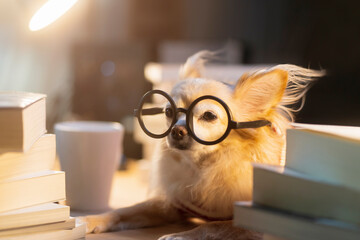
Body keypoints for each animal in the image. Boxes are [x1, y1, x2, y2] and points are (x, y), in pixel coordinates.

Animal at [83, 51, 324, 239]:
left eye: (209, 115)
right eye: (169, 112)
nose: (176, 130)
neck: (202, 167)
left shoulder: (253, 223)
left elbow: (215, 225)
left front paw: (180, 235)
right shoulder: (172, 205)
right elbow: (125, 210)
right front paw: (88, 220)